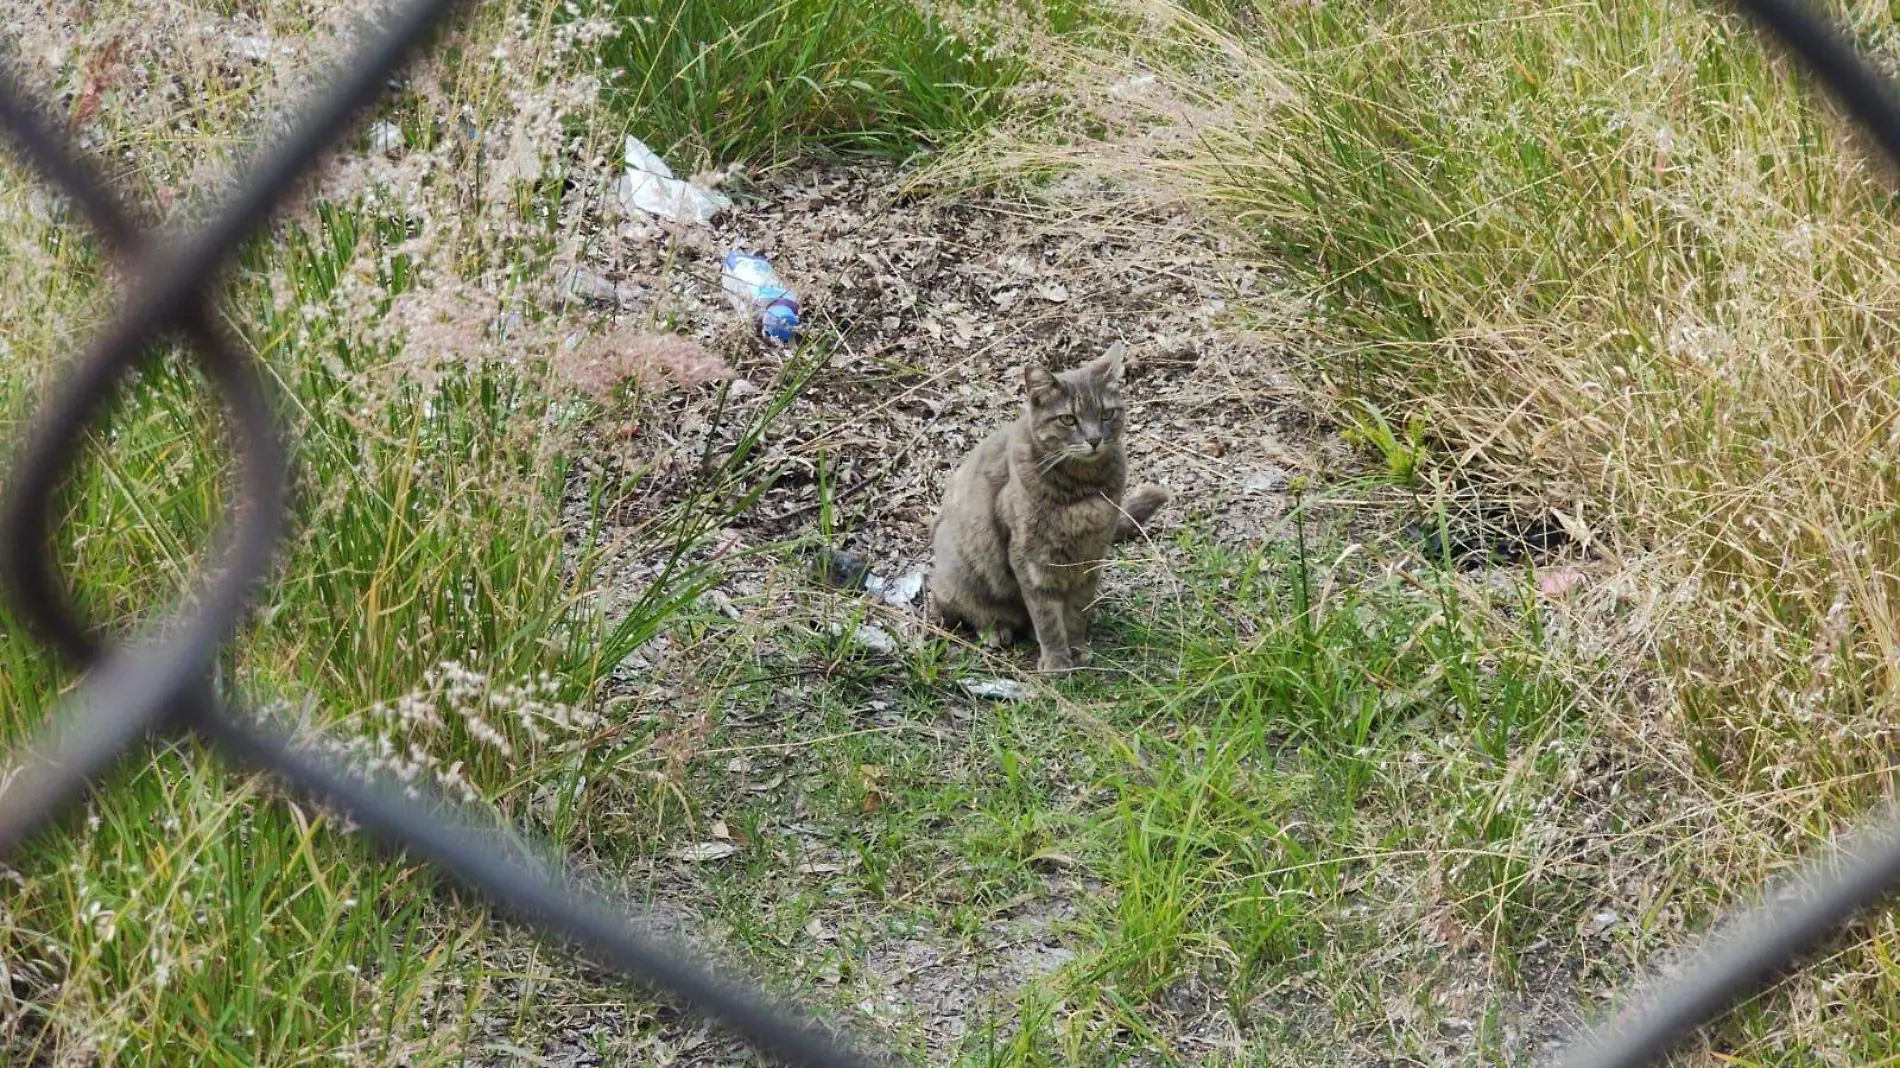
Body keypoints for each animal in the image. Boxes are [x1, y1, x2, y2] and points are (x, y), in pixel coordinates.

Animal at [927, 340, 1162, 668]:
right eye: (1068, 419)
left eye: (1106, 414)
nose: (1094, 440)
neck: (1084, 489)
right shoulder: (1031, 558)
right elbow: (1046, 616)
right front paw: (1056, 661)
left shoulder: (1091, 554)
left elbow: (1077, 609)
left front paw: (1076, 647)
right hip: (959, 570)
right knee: (950, 603)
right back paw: (993, 630)